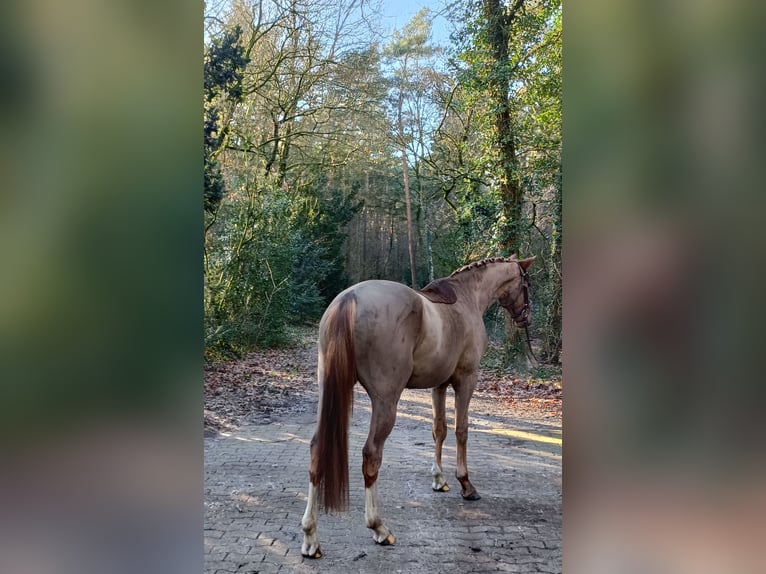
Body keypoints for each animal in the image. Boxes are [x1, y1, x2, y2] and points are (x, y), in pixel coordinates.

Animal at [300, 256, 536, 560]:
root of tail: (348, 300)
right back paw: (379, 528)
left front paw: (439, 479)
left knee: (317, 449)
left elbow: (439, 429)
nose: (525, 317)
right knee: (371, 455)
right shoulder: (466, 379)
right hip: (386, 401)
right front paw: (466, 485)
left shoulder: (440, 384)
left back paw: (310, 538)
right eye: (526, 284)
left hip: (327, 391)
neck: (468, 297)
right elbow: (461, 430)